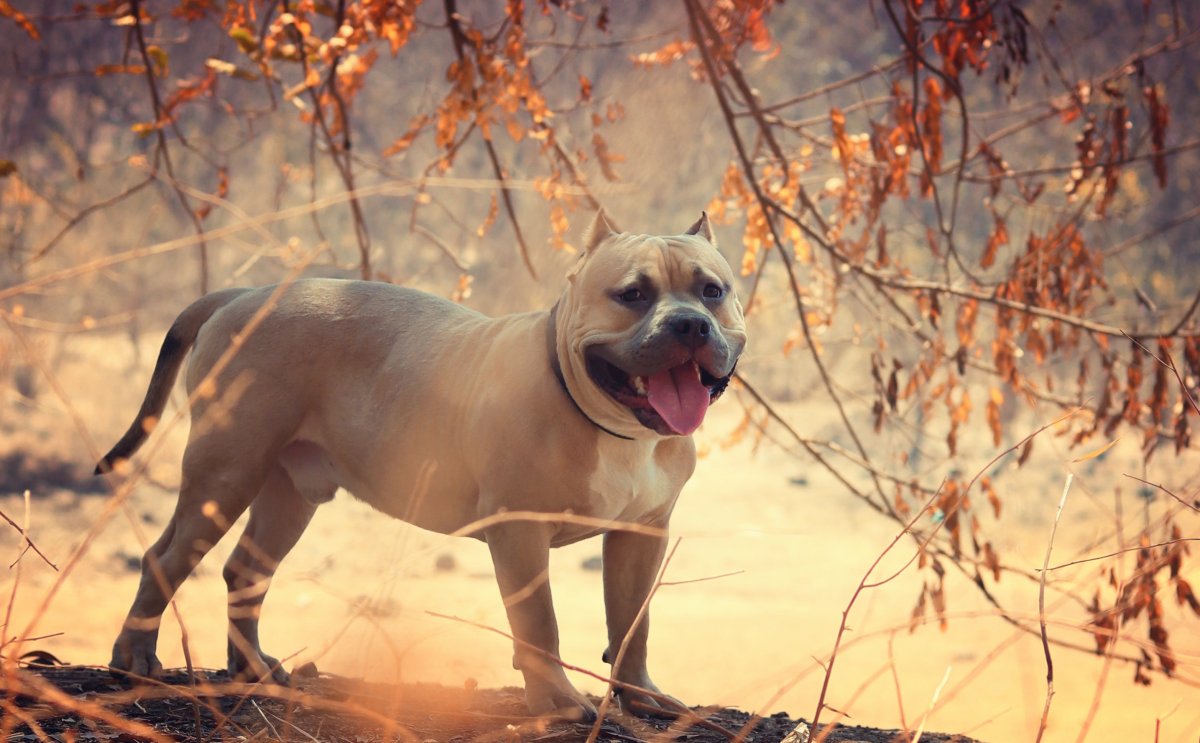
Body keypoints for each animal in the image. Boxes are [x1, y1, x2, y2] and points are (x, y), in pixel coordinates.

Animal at [98, 208, 744, 720]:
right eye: (632, 295)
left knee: (245, 571)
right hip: (226, 472)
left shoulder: (642, 534)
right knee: (166, 558)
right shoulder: (519, 531)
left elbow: (634, 620)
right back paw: (135, 659)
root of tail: (243, 295)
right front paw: (557, 702)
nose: (689, 323)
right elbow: (539, 622)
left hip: (289, 493)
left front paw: (640, 694)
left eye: (712, 291)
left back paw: (252, 668)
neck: (614, 425)